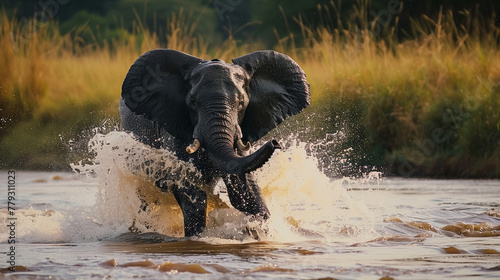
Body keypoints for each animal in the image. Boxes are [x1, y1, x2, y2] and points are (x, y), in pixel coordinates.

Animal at [119, 48, 310, 236]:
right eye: (193, 103)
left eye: (241, 103)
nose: (275, 143)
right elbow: (191, 193)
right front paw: (199, 237)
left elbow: (244, 189)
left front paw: (260, 232)